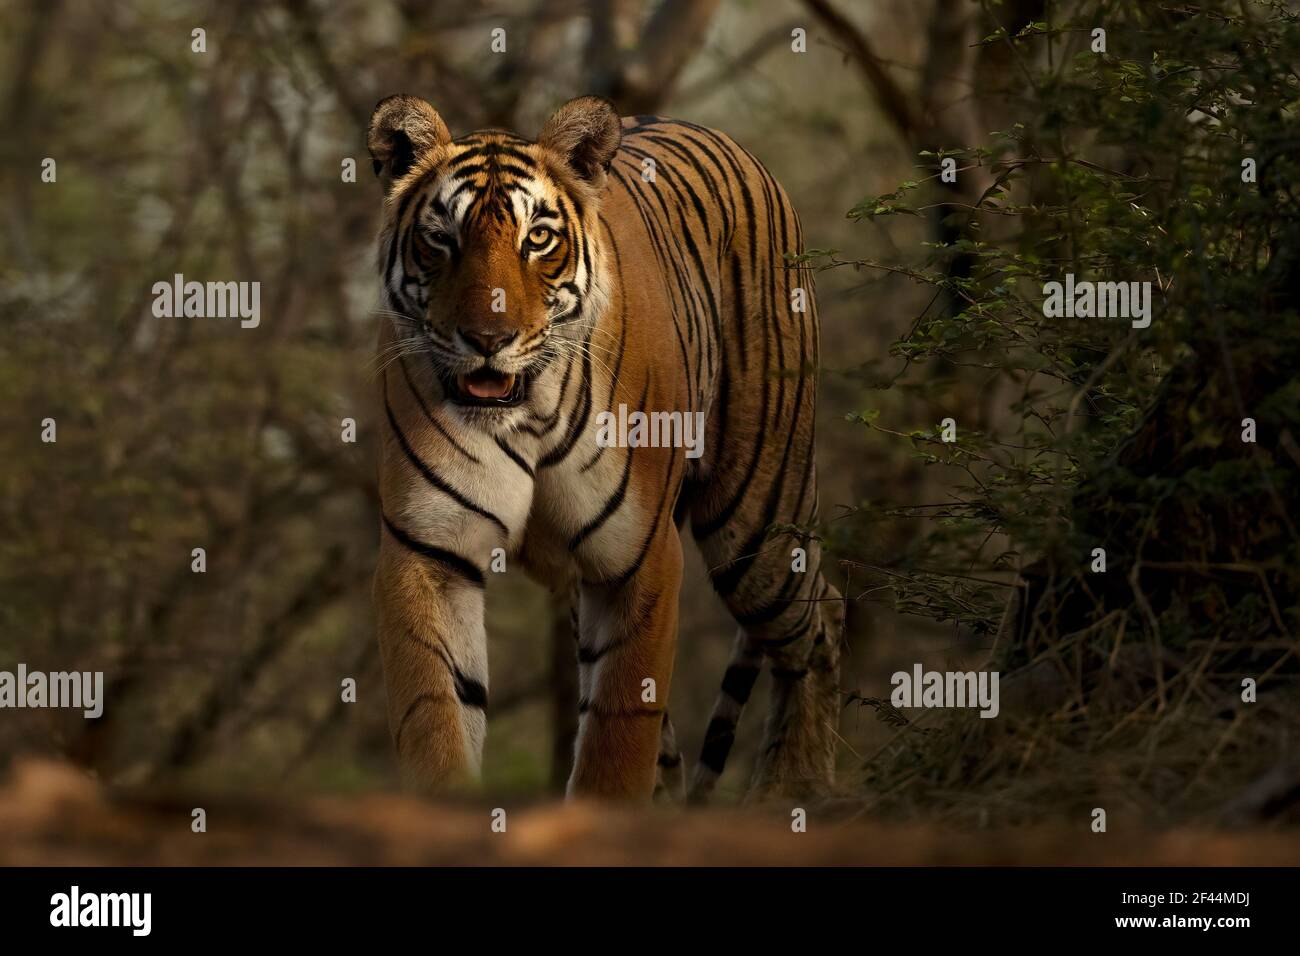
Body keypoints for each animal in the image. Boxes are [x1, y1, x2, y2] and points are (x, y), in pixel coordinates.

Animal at [367, 93, 844, 801]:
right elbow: (436, 718)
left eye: (537, 238)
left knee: (820, 620)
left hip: (758, 519)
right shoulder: (429, 551)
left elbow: (618, 741)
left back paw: (797, 792)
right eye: (441, 238)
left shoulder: (639, 556)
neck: (524, 413)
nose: (488, 339)